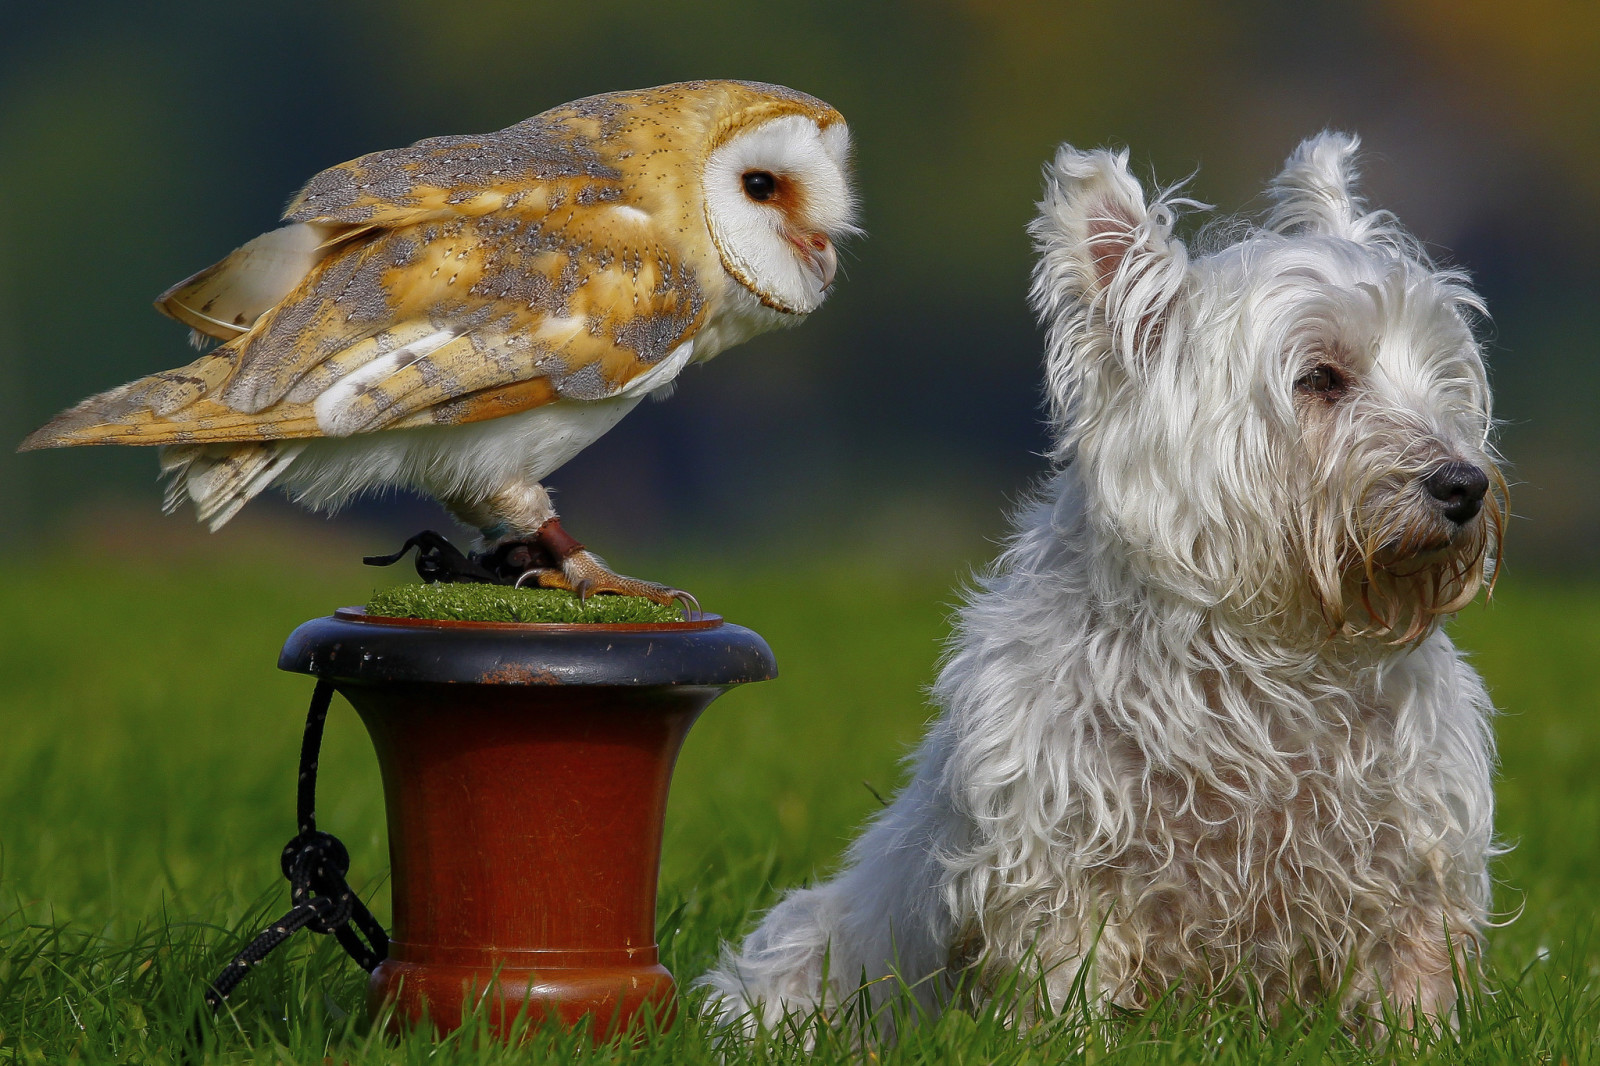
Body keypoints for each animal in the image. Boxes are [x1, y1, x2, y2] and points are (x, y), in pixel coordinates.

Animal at [700, 130, 1497, 1030]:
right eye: (1321, 377)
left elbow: (1413, 975)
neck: (1264, 657)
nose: (1465, 486)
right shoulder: (1057, 863)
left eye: (1444, 381)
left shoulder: (1416, 861)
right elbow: (1063, 985)